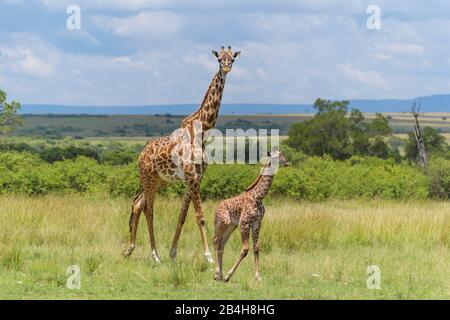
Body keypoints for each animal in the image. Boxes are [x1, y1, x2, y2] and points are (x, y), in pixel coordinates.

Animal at [123, 46, 241, 264]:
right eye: (219, 59)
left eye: (233, 59)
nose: (226, 68)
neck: (202, 130)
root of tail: (141, 155)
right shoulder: (192, 177)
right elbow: (200, 217)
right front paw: (209, 257)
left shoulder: (195, 178)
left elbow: (182, 216)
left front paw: (173, 253)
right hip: (148, 178)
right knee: (149, 210)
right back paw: (154, 255)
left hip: (158, 180)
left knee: (137, 204)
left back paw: (129, 249)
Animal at [214, 151, 288, 282]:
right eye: (277, 156)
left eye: (282, 153)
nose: (287, 162)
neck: (258, 197)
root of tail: (216, 209)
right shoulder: (244, 223)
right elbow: (245, 250)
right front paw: (229, 275)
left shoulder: (257, 223)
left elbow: (256, 247)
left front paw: (258, 276)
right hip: (223, 223)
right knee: (216, 241)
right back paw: (218, 274)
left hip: (231, 227)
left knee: (221, 243)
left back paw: (220, 275)